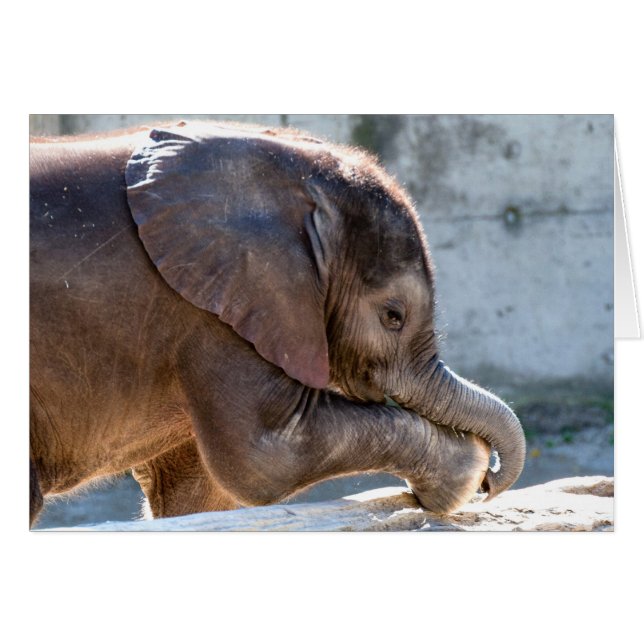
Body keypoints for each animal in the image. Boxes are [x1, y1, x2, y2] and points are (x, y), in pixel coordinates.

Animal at [29, 120, 525, 527]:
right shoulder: (212, 309)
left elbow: (199, 491)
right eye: (393, 316)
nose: (491, 483)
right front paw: (465, 471)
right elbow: (267, 457)